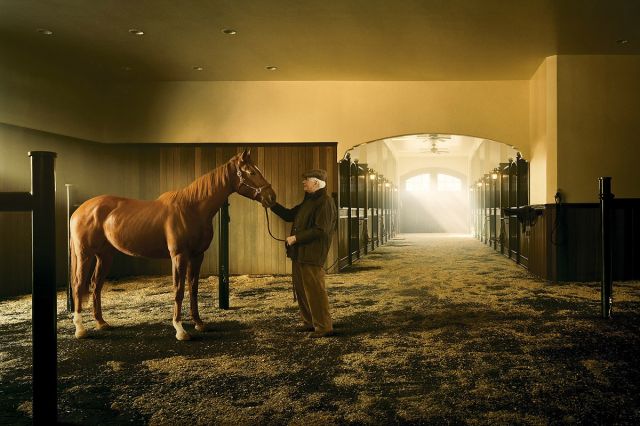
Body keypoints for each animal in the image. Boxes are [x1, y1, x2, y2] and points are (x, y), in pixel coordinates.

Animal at [70, 150, 276, 340]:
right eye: (252, 172)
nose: (271, 197)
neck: (191, 209)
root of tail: (79, 211)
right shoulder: (179, 256)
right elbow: (179, 290)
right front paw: (180, 330)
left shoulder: (197, 256)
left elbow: (193, 289)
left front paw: (199, 323)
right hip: (85, 254)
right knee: (79, 284)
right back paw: (80, 329)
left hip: (104, 256)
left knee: (96, 285)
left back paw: (101, 323)